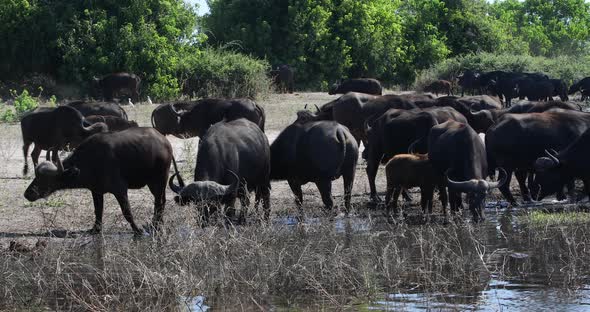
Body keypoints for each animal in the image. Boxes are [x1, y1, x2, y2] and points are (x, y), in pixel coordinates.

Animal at [24, 127, 172, 234]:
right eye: (36, 177)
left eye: (45, 179)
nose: (27, 194)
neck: (91, 161)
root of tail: (165, 142)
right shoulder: (96, 191)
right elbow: (98, 210)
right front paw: (95, 229)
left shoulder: (120, 190)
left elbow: (127, 212)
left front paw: (138, 231)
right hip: (154, 183)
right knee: (161, 201)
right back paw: (156, 224)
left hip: (160, 179)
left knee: (159, 202)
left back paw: (155, 226)